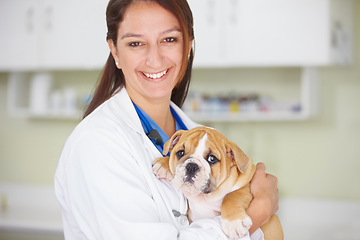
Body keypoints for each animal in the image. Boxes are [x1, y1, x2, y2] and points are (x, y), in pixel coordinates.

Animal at [153, 126, 282, 239]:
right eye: (180, 153)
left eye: (212, 159)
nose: (191, 166)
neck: (206, 197)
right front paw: (163, 164)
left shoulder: (247, 182)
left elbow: (232, 196)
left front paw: (233, 223)